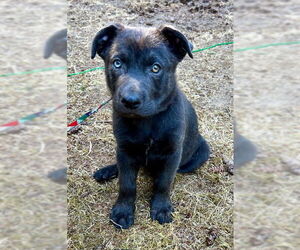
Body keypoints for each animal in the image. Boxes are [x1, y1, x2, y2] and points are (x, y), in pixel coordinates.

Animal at [92, 23, 211, 229]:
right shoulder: (125, 149)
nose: (130, 101)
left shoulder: (172, 153)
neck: (146, 121)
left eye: (156, 68)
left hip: (202, 151)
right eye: (117, 63)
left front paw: (161, 207)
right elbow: (127, 183)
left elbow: (164, 182)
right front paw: (123, 210)